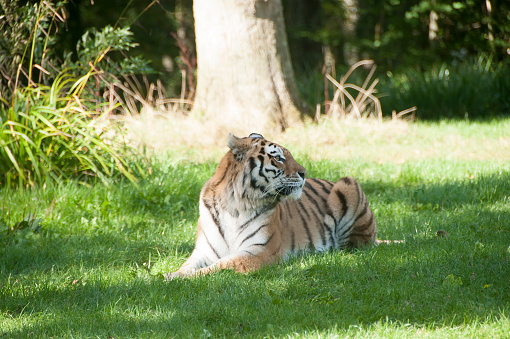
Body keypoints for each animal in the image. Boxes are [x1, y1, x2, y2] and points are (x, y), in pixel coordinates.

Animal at [165, 134, 376, 280]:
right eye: (279, 158)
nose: (304, 173)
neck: (234, 205)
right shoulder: (204, 252)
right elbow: (187, 266)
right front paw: (172, 275)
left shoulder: (259, 251)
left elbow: (222, 264)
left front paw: (179, 279)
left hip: (348, 184)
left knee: (354, 245)